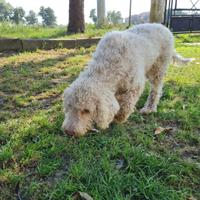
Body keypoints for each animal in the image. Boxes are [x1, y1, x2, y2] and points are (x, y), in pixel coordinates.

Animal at [62, 23, 192, 136]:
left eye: (86, 110)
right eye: (69, 107)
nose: (69, 131)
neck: (107, 65)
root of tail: (164, 27)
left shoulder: (135, 84)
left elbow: (126, 105)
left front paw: (119, 117)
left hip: (158, 68)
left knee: (156, 90)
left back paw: (149, 108)